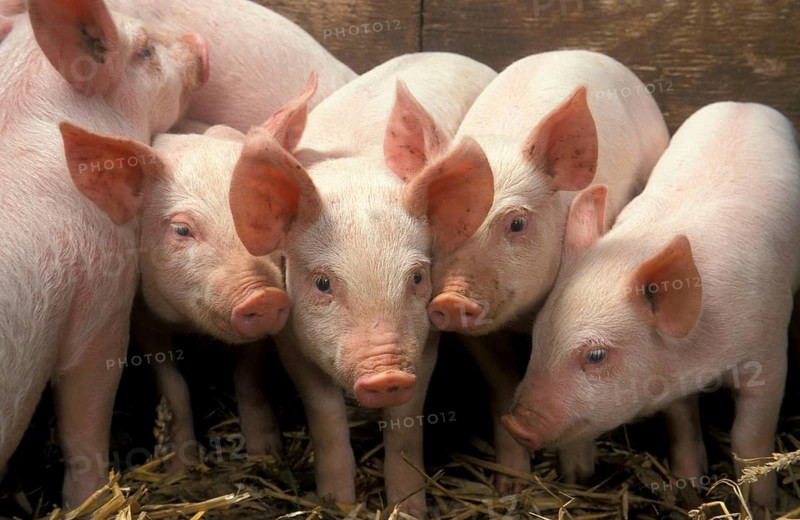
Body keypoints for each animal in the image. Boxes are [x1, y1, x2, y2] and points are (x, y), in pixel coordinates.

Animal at [228, 53, 497, 516]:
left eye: (417, 277)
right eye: (322, 283)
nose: (385, 373)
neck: (356, 178)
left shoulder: (424, 339)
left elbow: (406, 428)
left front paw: (408, 510)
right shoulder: (291, 338)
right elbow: (325, 417)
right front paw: (337, 503)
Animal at [424, 50, 670, 486]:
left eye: (517, 223)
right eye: (436, 219)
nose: (451, 300)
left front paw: (576, 478)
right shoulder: (477, 337)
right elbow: (502, 386)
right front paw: (510, 482)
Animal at [502, 102, 800, 518]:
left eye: (596, 355)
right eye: (537, 336)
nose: (515, 424)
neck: (702, 356)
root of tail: (744, 103)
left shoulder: (770, 353)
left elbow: (749, 438)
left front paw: (760, 506)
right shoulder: (672, 384)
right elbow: (681, 424)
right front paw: (688, 490)